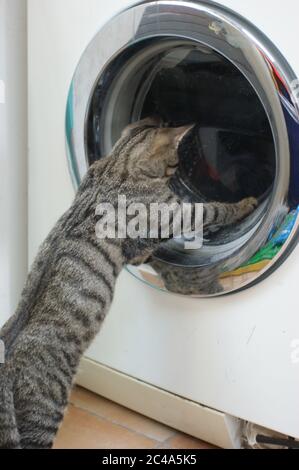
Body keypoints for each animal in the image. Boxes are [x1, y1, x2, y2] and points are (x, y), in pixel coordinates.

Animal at [0, 117, 258, 448]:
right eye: (176, 161)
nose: (178, 175)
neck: (117, 164)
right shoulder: (175, 212)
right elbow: (212, 209)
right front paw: (245, 203)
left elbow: (142, 249)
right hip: (44, 414)